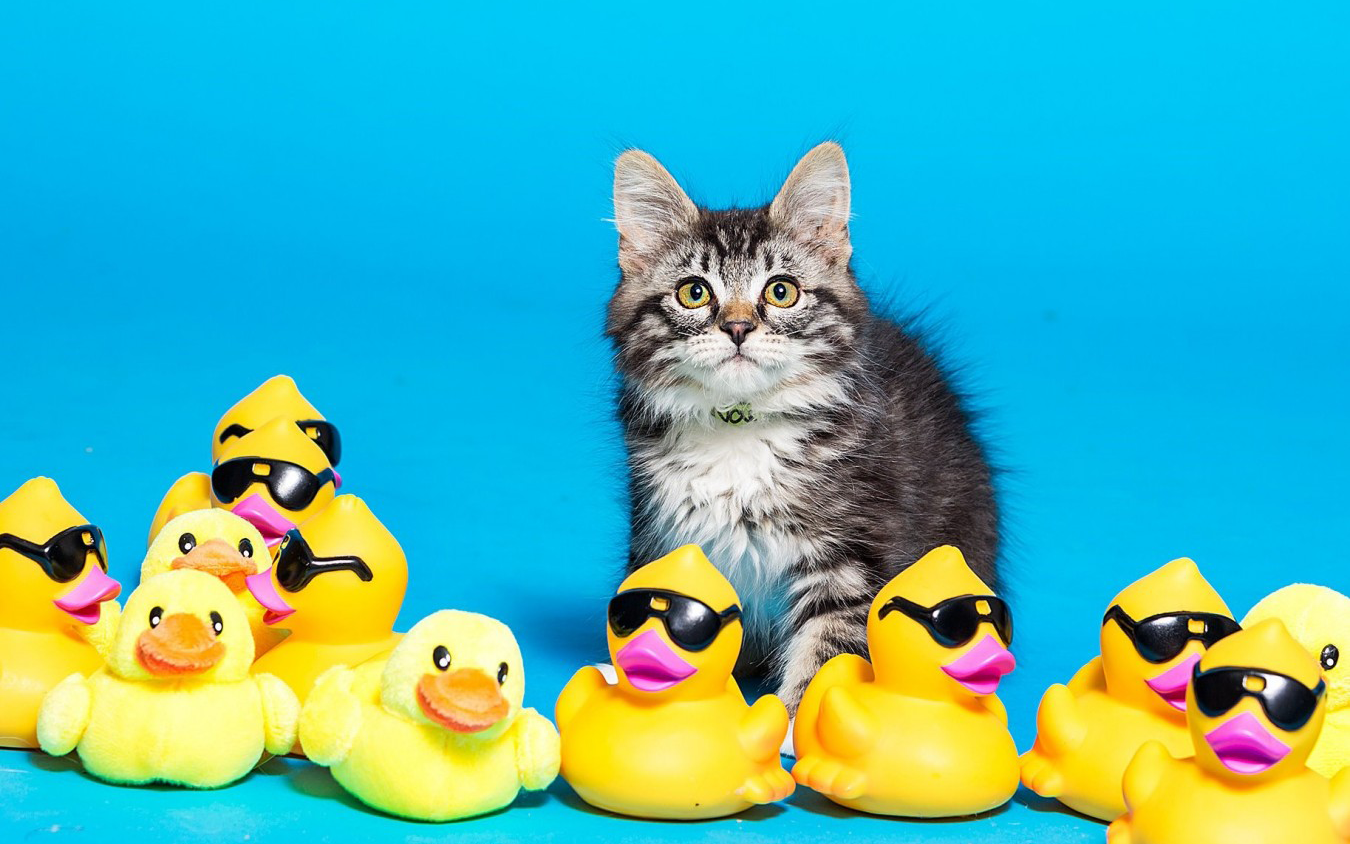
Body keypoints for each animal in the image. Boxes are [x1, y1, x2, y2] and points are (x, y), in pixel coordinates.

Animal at [607, 141, 999, 707]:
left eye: (781, 292)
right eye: (694, 294)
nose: (738, 327)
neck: (740, 426)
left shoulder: (850, 555)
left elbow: (825, 654)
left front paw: (796, 720)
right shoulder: (661, 529)